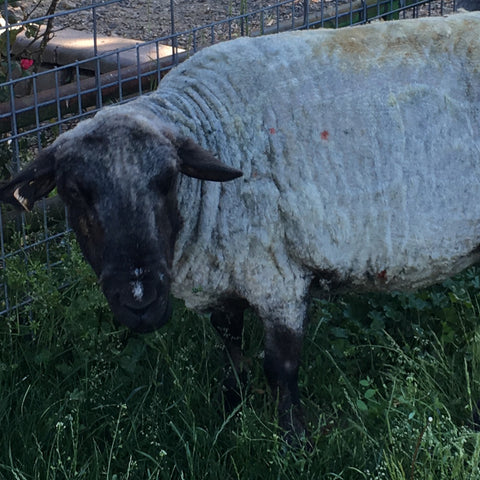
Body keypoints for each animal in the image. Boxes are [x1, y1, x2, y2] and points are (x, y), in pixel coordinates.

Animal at [0, 11, 480, 438]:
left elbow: (280, 367)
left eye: (168, 178)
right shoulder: (221, 278)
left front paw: (294, 439)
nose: (141, 301)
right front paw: (231, 405)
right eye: (73, 192)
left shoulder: (278, 278)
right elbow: (229, 346)